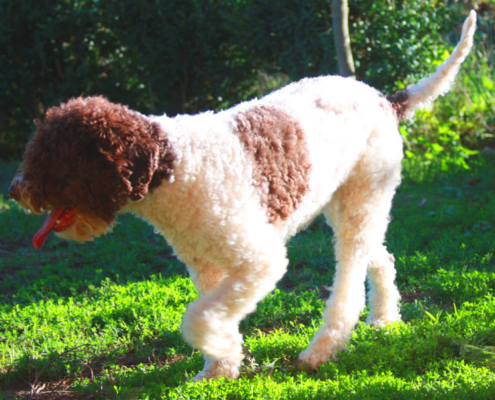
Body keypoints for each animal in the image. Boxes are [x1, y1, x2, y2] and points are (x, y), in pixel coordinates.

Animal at [8, 10, 476, 382]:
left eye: (55, 156)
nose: (15, 190)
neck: (172, 167)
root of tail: (384, 98)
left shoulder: (259, 261)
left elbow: (198, 317)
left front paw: (216, 351)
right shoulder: (207, 267)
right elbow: (214, 313)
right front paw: (220, 367)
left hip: (362, 199)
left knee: (349, 283)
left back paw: (321, 349)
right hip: (350, 205)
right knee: (378, 256)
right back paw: (384, 319)